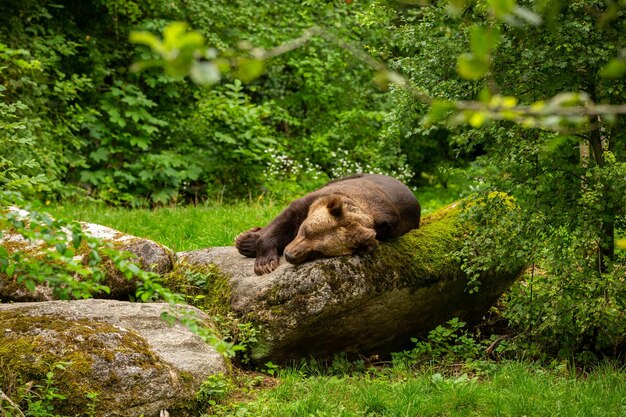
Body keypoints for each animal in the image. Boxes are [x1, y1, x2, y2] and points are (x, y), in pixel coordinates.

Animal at [233, 174, 420, 274]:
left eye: (318, 251)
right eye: (305, 230)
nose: (290, 255)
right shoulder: (315, 199)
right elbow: (283, 221)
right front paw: (264, 262)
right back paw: (245, 238)